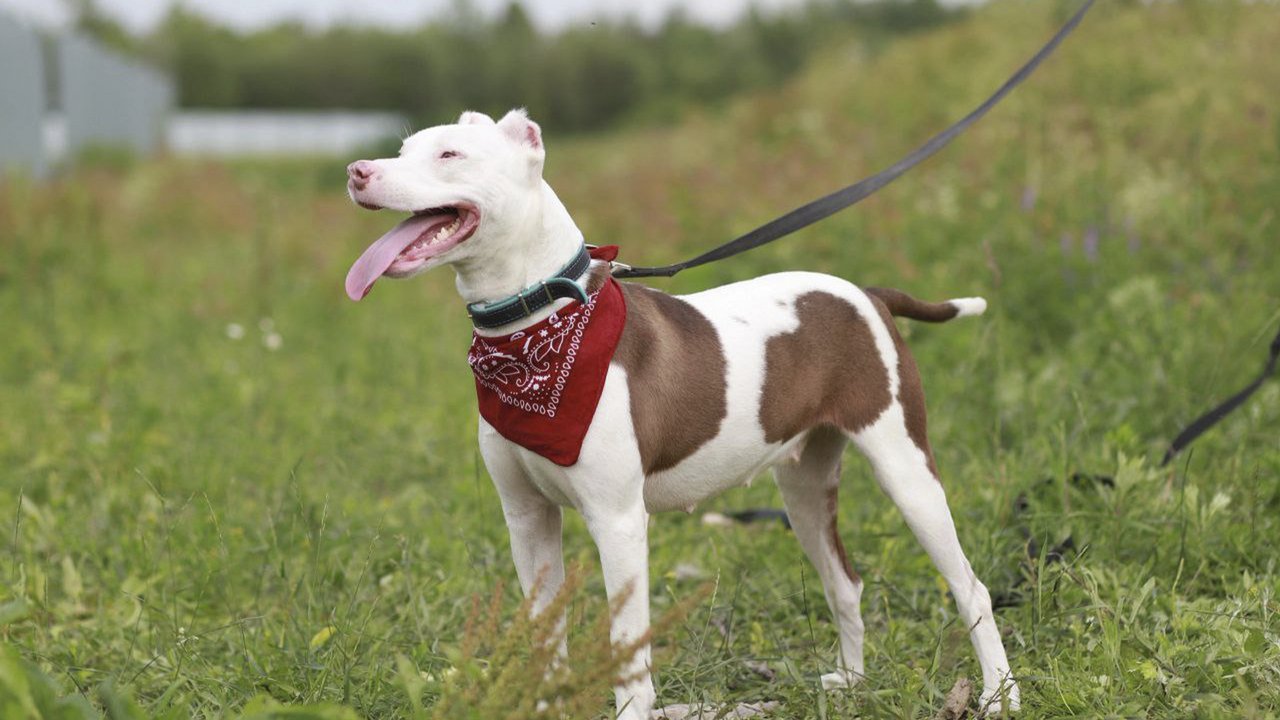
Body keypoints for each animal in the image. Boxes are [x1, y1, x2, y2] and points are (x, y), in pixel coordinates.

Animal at [343, 109, 1018, 712]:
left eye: (450, 154)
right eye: (403, 150)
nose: (357, 171)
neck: (538, 326)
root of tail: (867, 294)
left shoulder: (618, 521)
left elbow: (627, 651)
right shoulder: (527, 519)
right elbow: (545, 641)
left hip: (906, 469)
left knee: (971, 588)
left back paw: (997, 694)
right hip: (803, 487)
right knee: (844, 582)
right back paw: (850, 682)